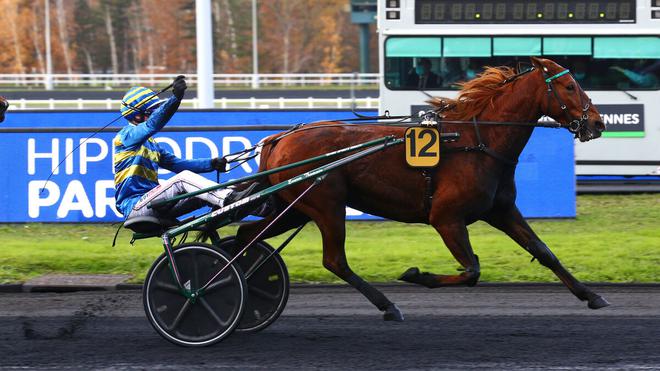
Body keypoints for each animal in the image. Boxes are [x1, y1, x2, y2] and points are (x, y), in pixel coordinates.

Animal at [236, 56, 608, 322]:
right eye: (570, 86)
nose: (598, 123)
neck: (478, 141)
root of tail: (279, 137)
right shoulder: (446, 218)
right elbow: (471, 271)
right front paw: (418, 275)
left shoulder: (501, 211)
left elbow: (544, 251)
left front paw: (591, 295)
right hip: (326, 206)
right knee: (334, 260)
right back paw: (388, 305)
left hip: (296, 208)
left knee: (246, 235)